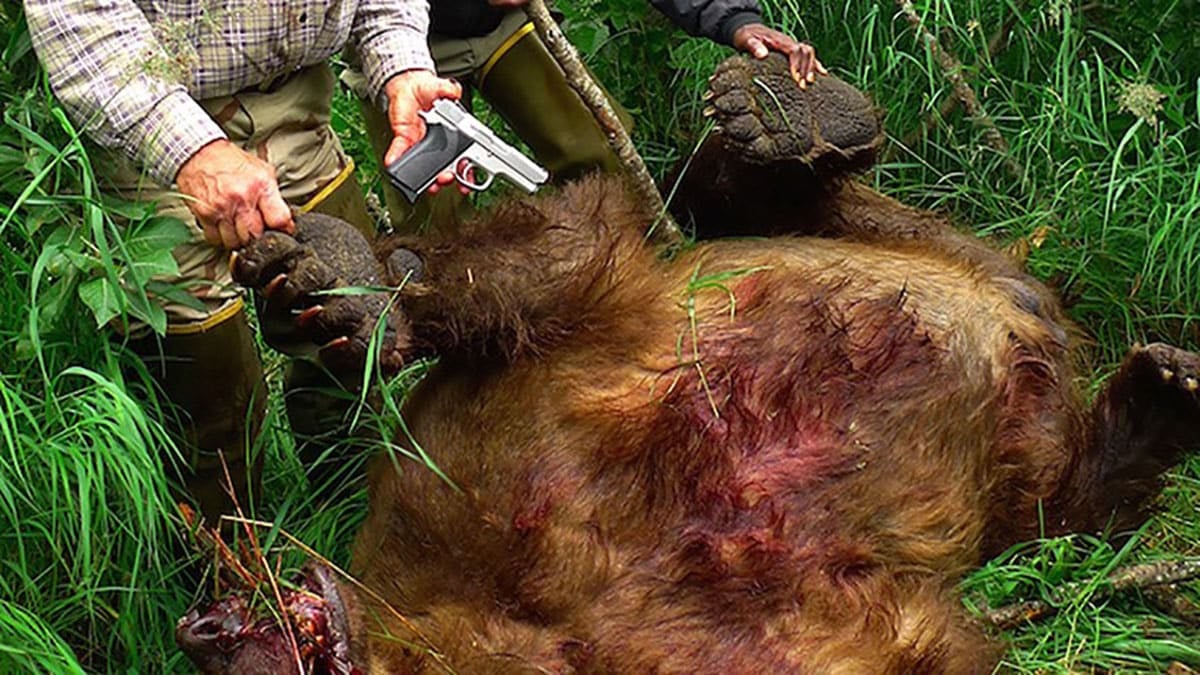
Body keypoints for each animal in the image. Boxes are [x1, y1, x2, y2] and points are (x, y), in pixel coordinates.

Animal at [176, 55, 1200, 674]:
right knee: (1064, 498)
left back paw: (786, 112)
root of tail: (1031, 308)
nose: (205, 622)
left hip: (939, 281)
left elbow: (553, 254)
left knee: (718, 200)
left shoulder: (475, 446)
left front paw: (349, 279)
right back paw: (1160, 394)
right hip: (1009, 410)